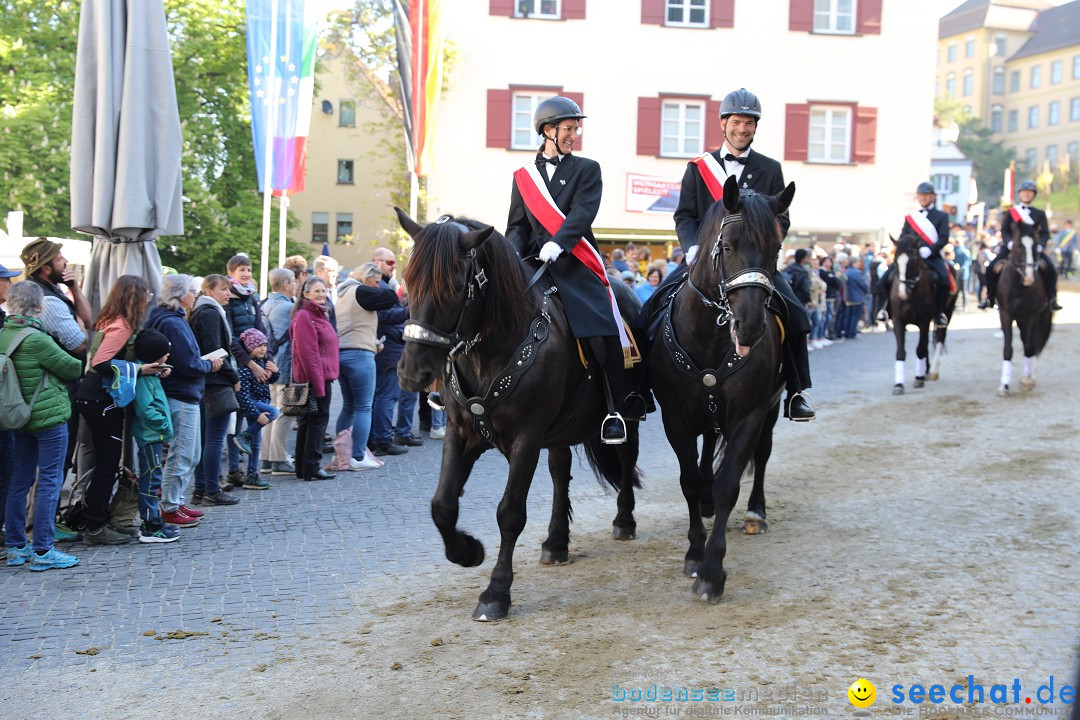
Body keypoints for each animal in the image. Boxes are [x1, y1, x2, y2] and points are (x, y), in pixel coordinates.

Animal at [395, 207, 639, 621]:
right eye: (409, 280)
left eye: (455, 286)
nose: (414, 373)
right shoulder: (462, 431)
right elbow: (442, 504)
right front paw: (467, 551)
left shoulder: (527, 436)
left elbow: (510, 513)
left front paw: (496, 592)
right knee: (560, 471)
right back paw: (556, 541)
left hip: (631, 410)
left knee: (626, 457)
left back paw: (624, 520)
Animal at [648, 175, 794, 604]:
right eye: (727, 246)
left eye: (776, 248)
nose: (750, 326)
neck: (711, 338)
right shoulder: (676, 418)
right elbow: (690, 481)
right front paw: (695, 554)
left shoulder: (749, 415)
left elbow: (729, 481)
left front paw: (713, 572)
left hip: (771, 410)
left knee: (761, 455)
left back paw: (756, 513)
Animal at [885, 232, 963, 395]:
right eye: (895, 261)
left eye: (914, 261)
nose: (902, 293)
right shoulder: (898, 321)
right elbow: (901, 352)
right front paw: (899, 384)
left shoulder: (924, 321)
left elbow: (920, 349)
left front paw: (918, 378)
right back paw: (925, 370)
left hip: (948, 311)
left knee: (940, 337)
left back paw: (932, 372)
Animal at [993, 222, 1054, 397]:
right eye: (1018, 246)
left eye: (1035, 245)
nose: (1029, 278)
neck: (1019, 287)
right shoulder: (1005, 315)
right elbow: (1008, 349)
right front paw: (1004, 385)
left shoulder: (1033, 315)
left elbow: (1029, 346)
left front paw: (1027, 382)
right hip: (1021, 320)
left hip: (1041, 318)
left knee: (1035, 343)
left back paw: (1030, 377)